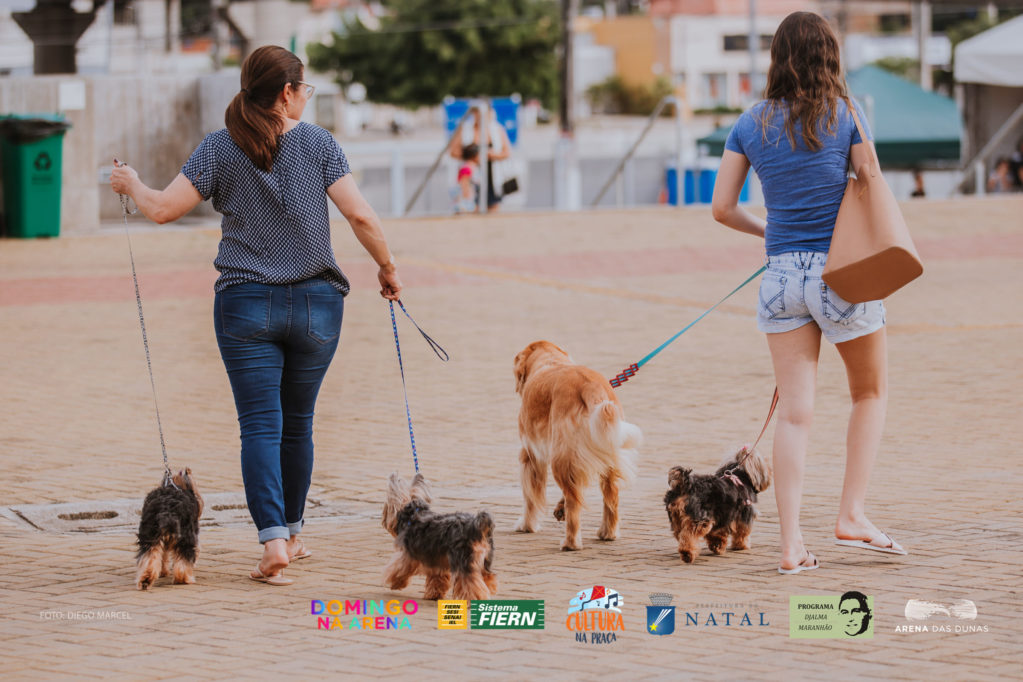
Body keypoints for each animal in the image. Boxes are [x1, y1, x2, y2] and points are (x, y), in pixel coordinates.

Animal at [382, 472, 497, 601]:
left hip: (463, 561)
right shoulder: (438, 561)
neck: (413, 514)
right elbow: (437, 579)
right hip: (484, 561)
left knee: (471, 584)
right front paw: (434, 594)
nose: (383, 520)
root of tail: (475, 526)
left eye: (386, 507)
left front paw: (395, 583)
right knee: (487, 578)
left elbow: (397, 569)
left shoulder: (407, 556)